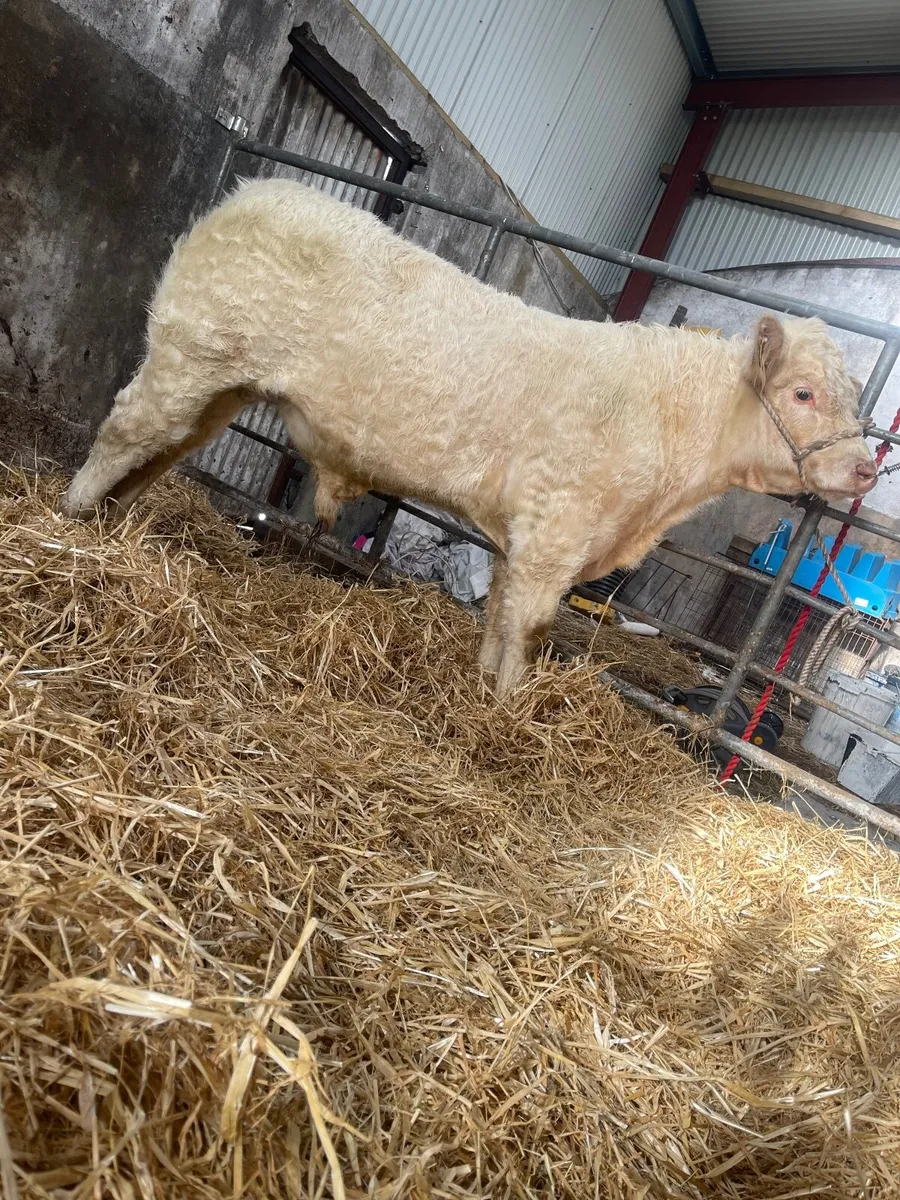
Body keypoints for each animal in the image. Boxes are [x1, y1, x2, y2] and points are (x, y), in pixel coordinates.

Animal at [62, 179, 875, 697]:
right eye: (802, 393)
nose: (867, 469)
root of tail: (257, 190)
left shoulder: (528, 532)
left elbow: (501, 611)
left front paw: (485, 688)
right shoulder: (559, 524)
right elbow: (532, 624)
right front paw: (512, 710)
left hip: (223, 382)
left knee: (168, 445)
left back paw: (114, 521)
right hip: (194, 350)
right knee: (130, 426)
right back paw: (72, 518)